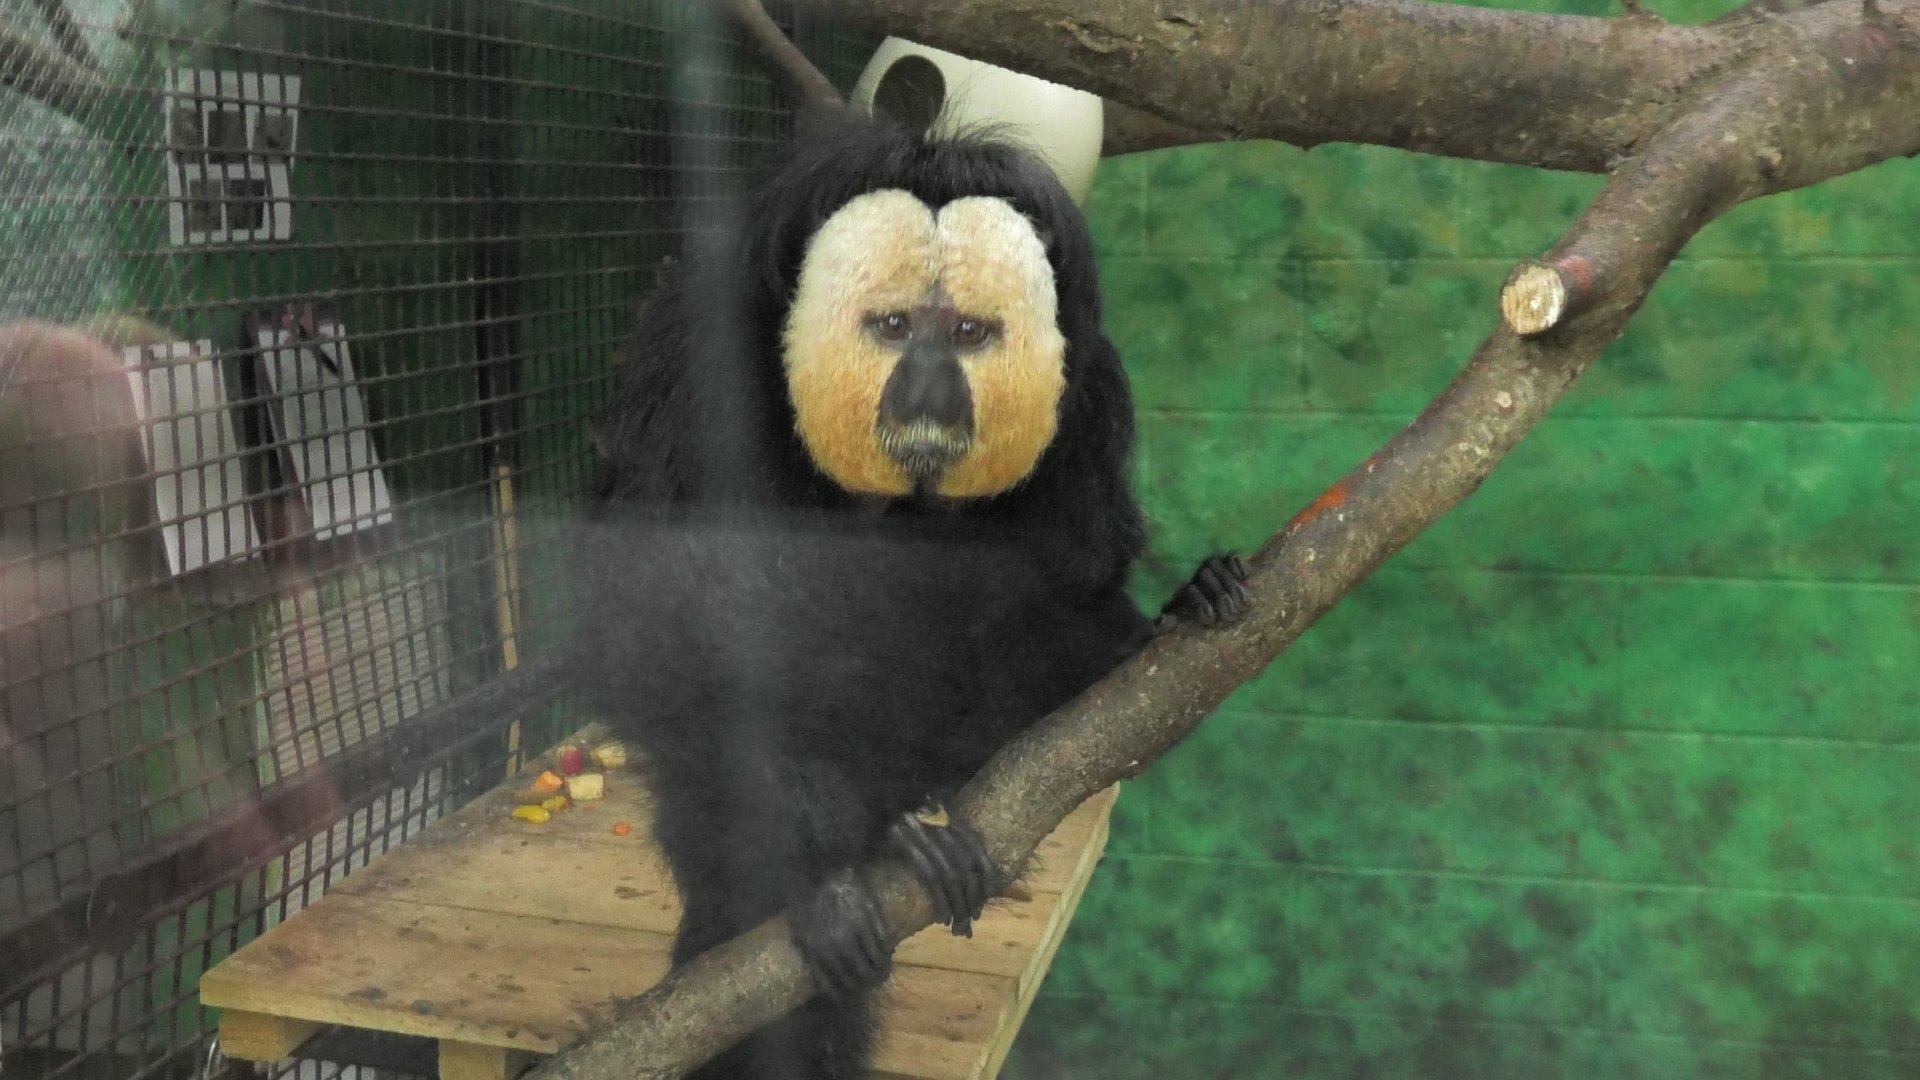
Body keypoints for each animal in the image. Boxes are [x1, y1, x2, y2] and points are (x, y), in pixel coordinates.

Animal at [572, 112, 1250, 1080]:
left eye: (967, 333)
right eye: (893, 328)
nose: (928, 390)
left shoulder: (1086, 401)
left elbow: (1067, 587)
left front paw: (1170, 620)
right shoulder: (691, 382)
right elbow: (656, 628)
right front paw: (817, 876)